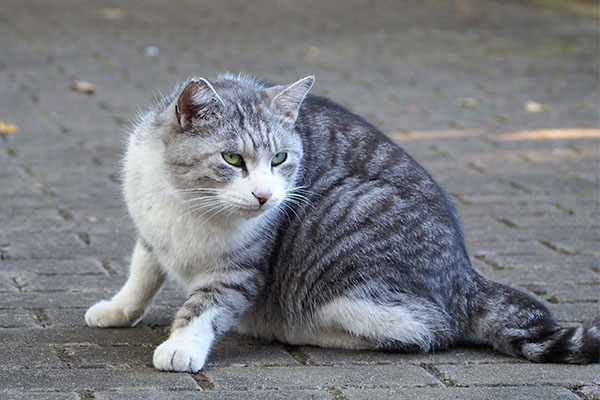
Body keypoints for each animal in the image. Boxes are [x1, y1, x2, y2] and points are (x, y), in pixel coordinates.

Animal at [85, 72, 600, 372]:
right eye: (232, 159)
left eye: (279, 159)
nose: (265, 195)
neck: (191, 206)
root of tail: (465, 274)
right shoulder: (153, 232)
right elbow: (141, 273)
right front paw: (118, 309)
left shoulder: (241, 270)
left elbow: (205, 305)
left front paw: (183, 345)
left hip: (344, 239)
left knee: (425, 330)